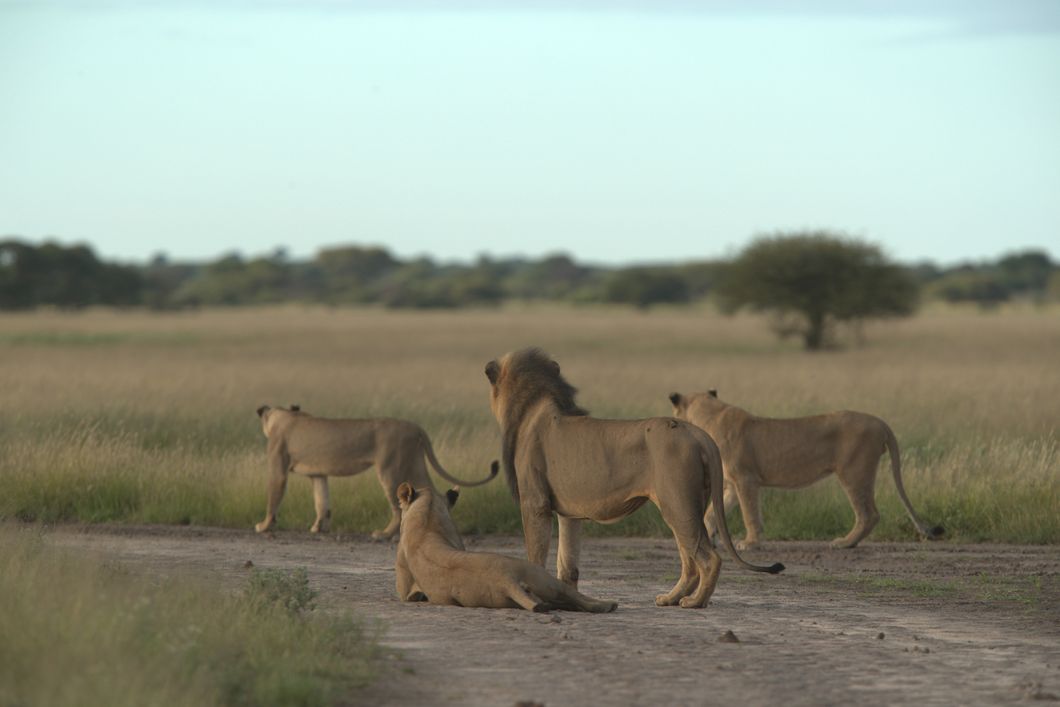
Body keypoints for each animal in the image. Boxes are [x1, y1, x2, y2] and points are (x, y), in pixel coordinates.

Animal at [254, 404, 498, 538]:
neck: (283, 415)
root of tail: (416, 427)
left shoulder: (278, 467)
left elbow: (273, 497)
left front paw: (264, 526)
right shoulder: (318, 475)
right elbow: (322, 501)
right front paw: (317, 528)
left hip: (390, 468)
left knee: (397, 508)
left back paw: (383, 534)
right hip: (414, 463)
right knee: (432, 492)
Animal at [395, 482, 618, 612]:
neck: (426, 517)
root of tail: (506, 579)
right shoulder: (406, 592)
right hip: (541, 580)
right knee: (571, 598)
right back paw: (607, 605)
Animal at [483, 348, 783, 610]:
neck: (532, 406)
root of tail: (699, 434)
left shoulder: (535, 504)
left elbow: (536, 556)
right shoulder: (569, 513)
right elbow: (567, 563)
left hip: (678, 503)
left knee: (709, 559)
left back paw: (695, 602)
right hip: (685, 505)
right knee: (690, 561)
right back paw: (671, 598)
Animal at [669, 390, 945, 549]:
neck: (707, 415)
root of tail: (880, 422)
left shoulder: (746, 479)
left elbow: (750, 514)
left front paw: (751, 543)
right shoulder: (731, 485)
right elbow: (712, 514)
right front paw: (710, 537)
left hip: (854, 473)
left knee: (870, 514)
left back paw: (844, 543)